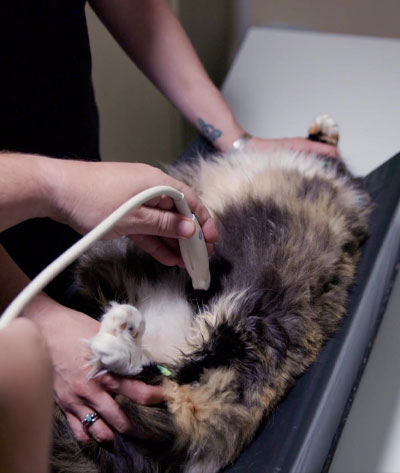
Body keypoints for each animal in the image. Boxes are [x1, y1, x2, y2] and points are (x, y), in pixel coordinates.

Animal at [50, 115, 372, 472]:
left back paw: (118, 334)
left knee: (159, 395)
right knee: (157, 389)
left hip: (240, 328)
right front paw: (324, 130)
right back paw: (121, 332)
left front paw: (325, 131)